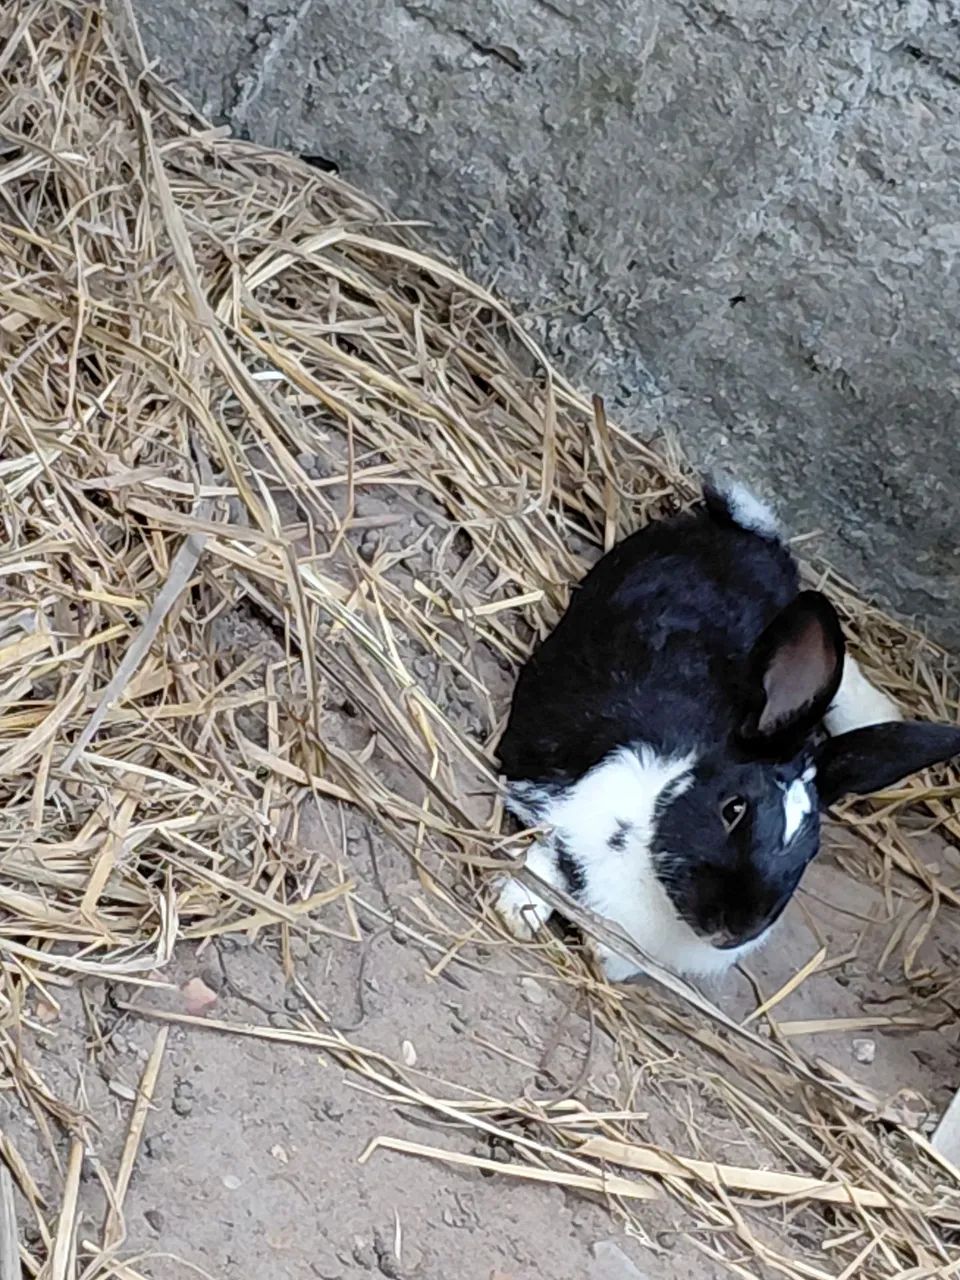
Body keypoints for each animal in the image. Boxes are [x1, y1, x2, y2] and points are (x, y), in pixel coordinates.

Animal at [495, 478, 960, 981]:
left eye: (812, 850)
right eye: (733, 809)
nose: (733, 928)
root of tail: (750, 531)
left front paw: (603, 957)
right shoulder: (563, 808)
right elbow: (544, 865)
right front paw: (516, 911)